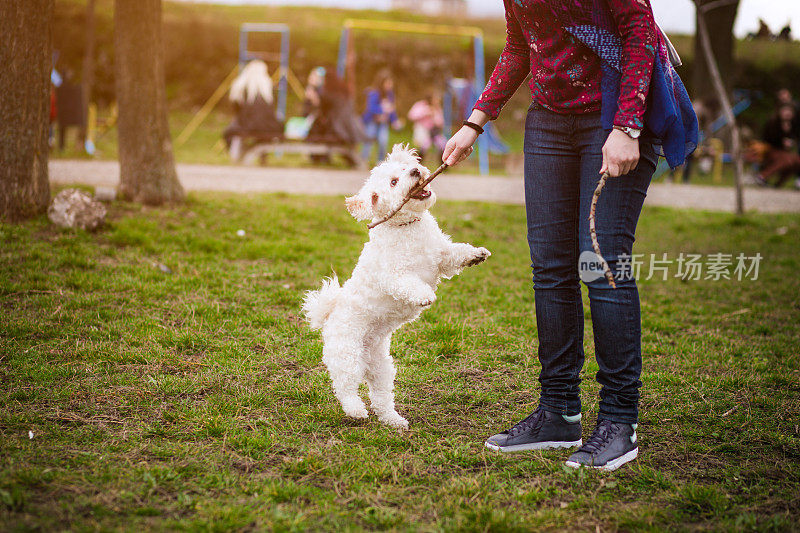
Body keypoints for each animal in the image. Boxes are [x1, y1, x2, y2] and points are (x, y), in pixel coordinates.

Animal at [304, 143, 490, 426]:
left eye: (405, 168)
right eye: (393, 182)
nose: (415, 170)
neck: (408, 226)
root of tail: (328, 316)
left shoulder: (441, 257)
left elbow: (456, 253)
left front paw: (476, 254)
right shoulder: (392, 275)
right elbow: (408, 284)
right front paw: (424, 296)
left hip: (381, 367)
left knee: (381, 396)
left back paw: (393, 420)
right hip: (347, 355)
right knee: (345, 387)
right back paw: (356, 410)